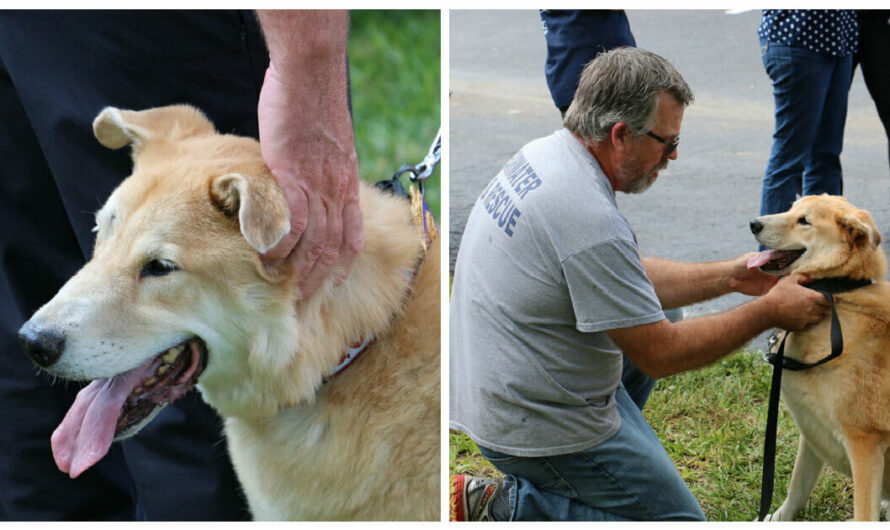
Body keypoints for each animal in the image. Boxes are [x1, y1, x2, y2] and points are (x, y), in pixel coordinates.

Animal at [748, 194, 888, 520]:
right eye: (790, 209)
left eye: (805, 221)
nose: (754, 224)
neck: (837, 294)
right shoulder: (812, 429)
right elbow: (798, 486)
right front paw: (777, 519)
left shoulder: (865, 445)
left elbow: (863, 514)